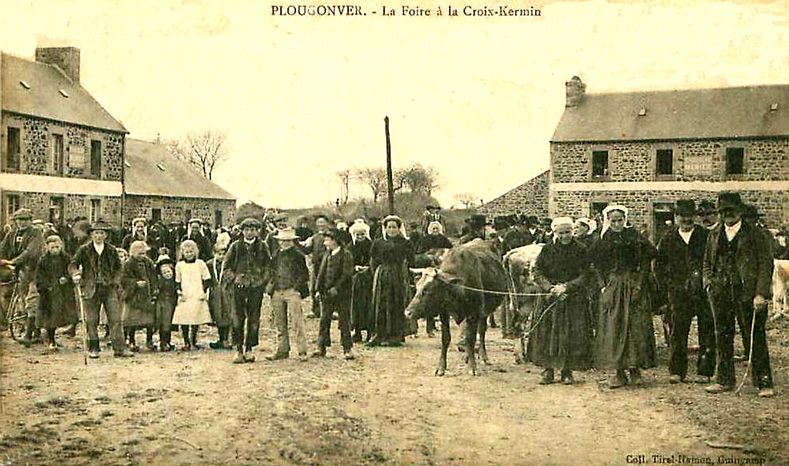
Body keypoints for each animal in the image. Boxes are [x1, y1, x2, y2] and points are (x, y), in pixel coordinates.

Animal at [404, 238, 508, 376]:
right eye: (417, 287)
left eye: (427, 289)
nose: (408, 312)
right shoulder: (444, 313)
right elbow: (446, 339)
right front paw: (441, 367)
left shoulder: (474, 313)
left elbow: (470, 339)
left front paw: (472, 367)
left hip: (484, 312)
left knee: (481, 331)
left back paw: (482, 356)